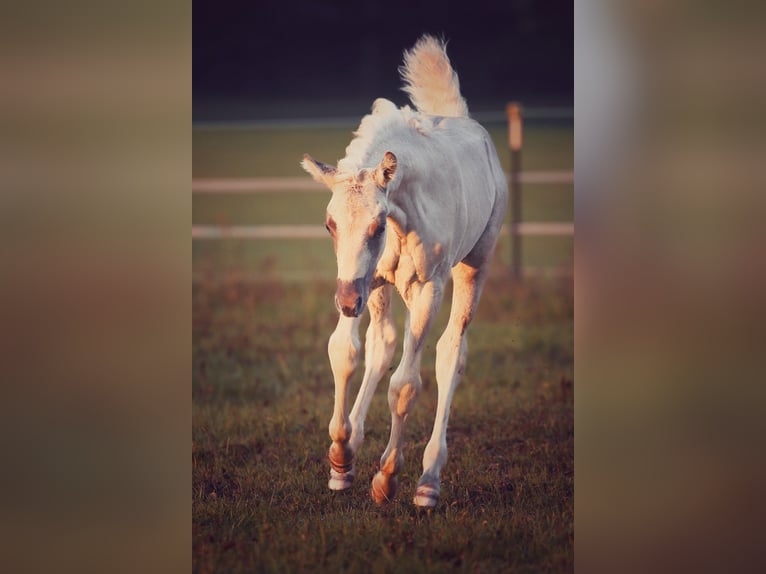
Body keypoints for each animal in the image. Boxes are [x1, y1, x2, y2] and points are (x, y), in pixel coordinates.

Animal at [301, 35, 508, 508]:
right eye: (329, 224)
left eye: (377, 225)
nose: (345, 303)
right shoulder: (364, 282)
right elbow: (346, 352)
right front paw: (340, 458)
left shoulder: (427, 289)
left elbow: (406, 385)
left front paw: (387, 477)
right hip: (379, 290)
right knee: (384, 344)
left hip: (473, 267)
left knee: (451, 353)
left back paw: (428, 481)